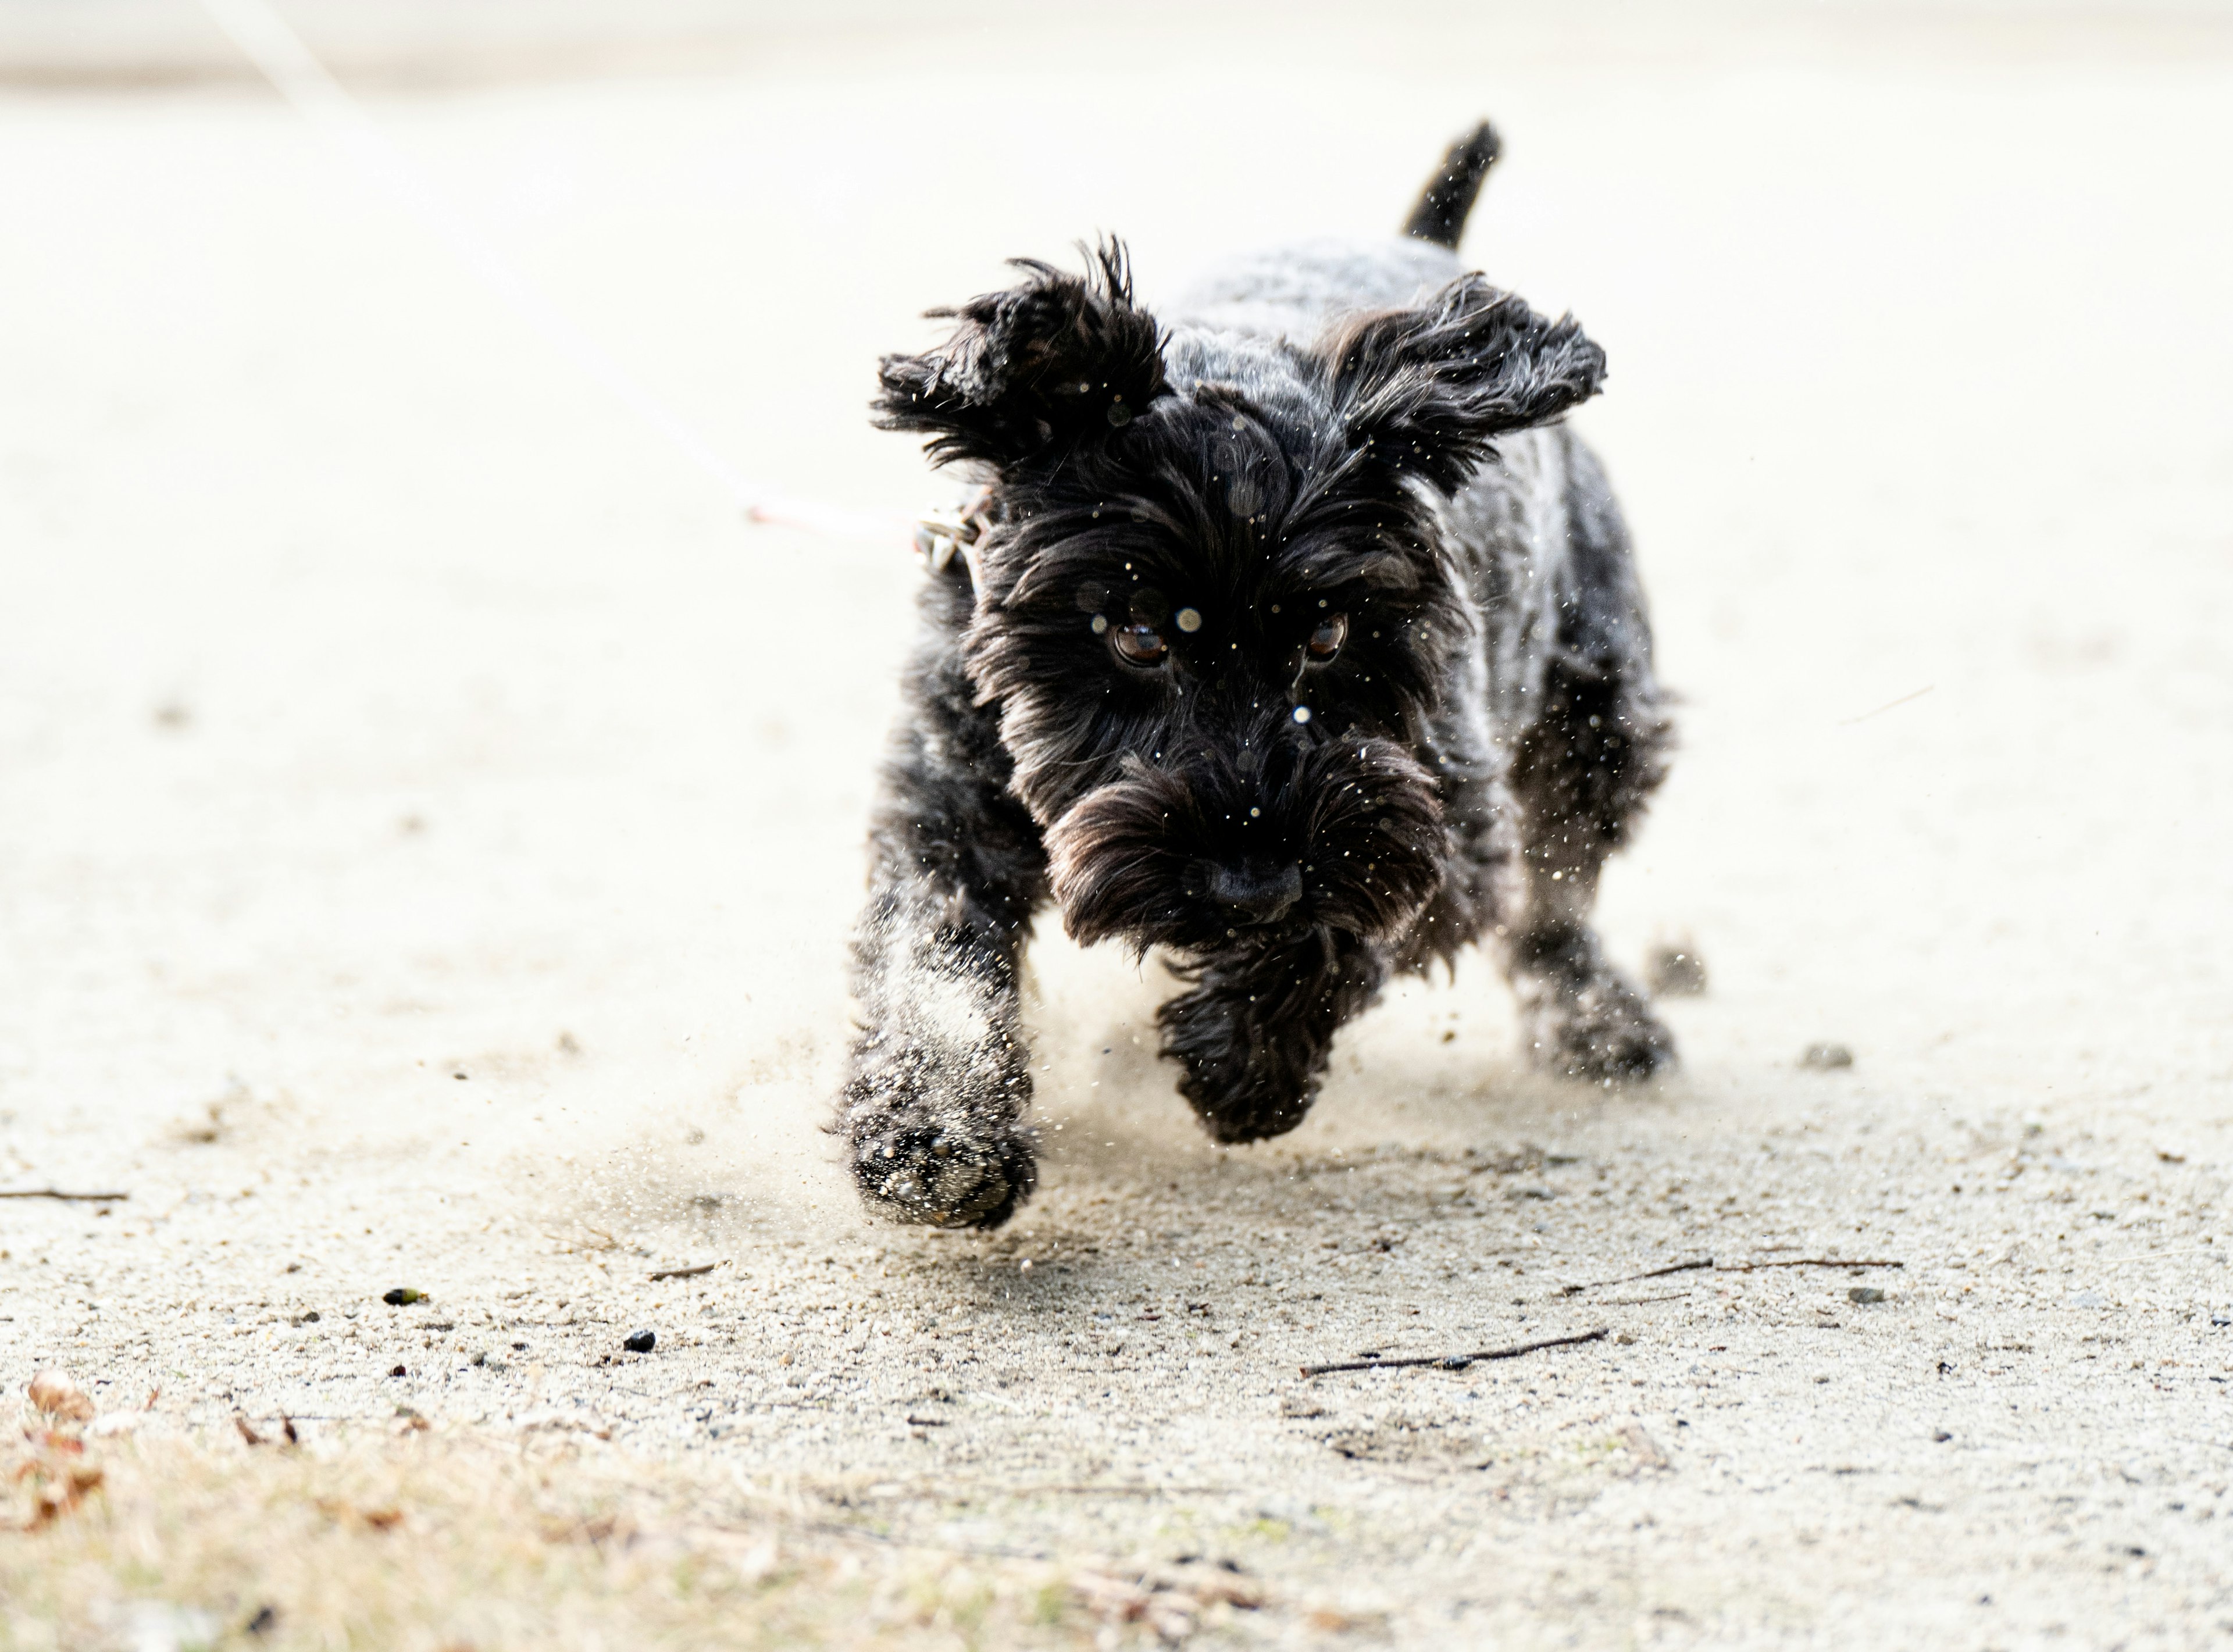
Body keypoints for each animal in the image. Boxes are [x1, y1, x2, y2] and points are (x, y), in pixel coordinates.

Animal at [839, 123, 1679, 1223]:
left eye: (1328, 639)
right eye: (1137, 635)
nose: (1251, 884)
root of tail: (1421, 241)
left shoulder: (1443, 818)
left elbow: (1344, 922)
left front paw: (1241, 1061)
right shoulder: (946, 799)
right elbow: (928, 961)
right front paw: (936, 1134)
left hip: (1596, 710)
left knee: (1561, 892)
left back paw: (1599, 1023)